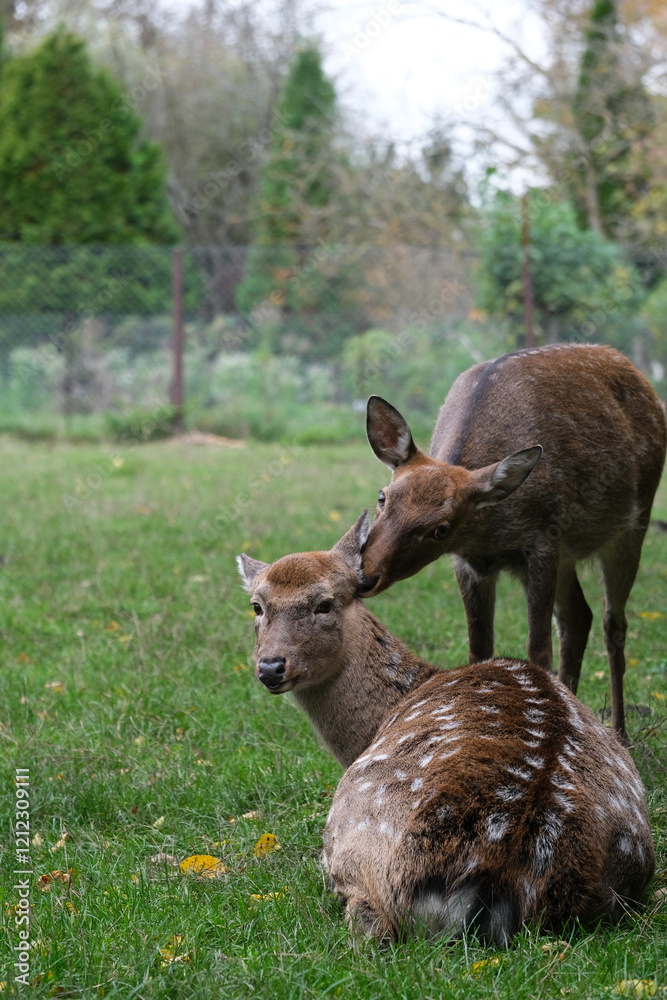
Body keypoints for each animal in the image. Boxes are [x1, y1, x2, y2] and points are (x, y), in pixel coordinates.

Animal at [237, 512, 655, 945]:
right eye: (257, 605)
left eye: (325, 603)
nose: (271, 666)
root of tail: (495, 877)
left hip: (353, 833)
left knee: (369, 925)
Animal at [360, 344, 667, 743]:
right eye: (383, 497)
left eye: (441, 529)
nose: (366, 576)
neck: (490, 535)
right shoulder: (469, 564)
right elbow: (479, 650)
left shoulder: (543, 540)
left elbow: (538, 650)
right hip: (570, 555)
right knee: (579, 616)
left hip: (634, 521)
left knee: (613, 624)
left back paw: (619, 733)